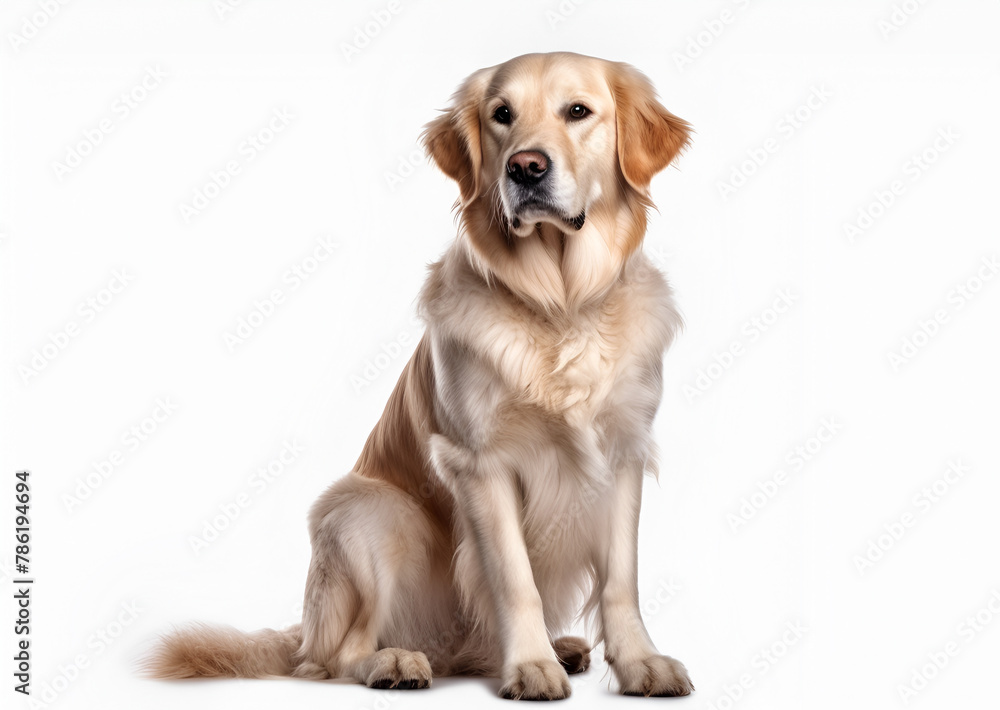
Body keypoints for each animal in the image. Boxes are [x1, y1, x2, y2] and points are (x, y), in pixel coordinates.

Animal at [150, 52, 696, 704]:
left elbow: (621, 581)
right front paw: (529, 667)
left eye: (578, 111)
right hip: (371, 511)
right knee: (338, 655)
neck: (560, 304)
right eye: (502, 115)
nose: (525, 167)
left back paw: (556, 648)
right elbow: (515, 579)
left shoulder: (623, 450)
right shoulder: (479, 462)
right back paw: (396, 662)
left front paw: (640, 662)